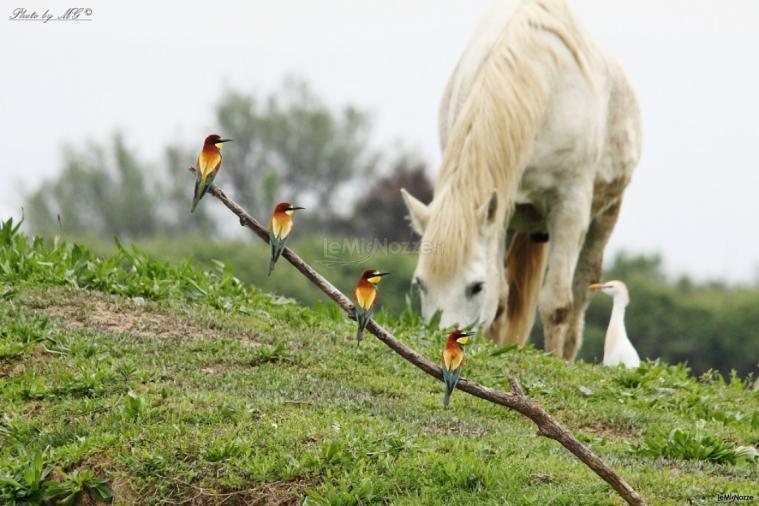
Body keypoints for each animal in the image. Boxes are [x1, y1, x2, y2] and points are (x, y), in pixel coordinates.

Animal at [404, 0, 640, 360]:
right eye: (420, 284)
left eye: (475, 287)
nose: (443, 340)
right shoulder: (502, 207)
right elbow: (500, 299)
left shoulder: (570, 204)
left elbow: (557, 304)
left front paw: (555, 361)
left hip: (604, 215)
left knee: (581, 292)